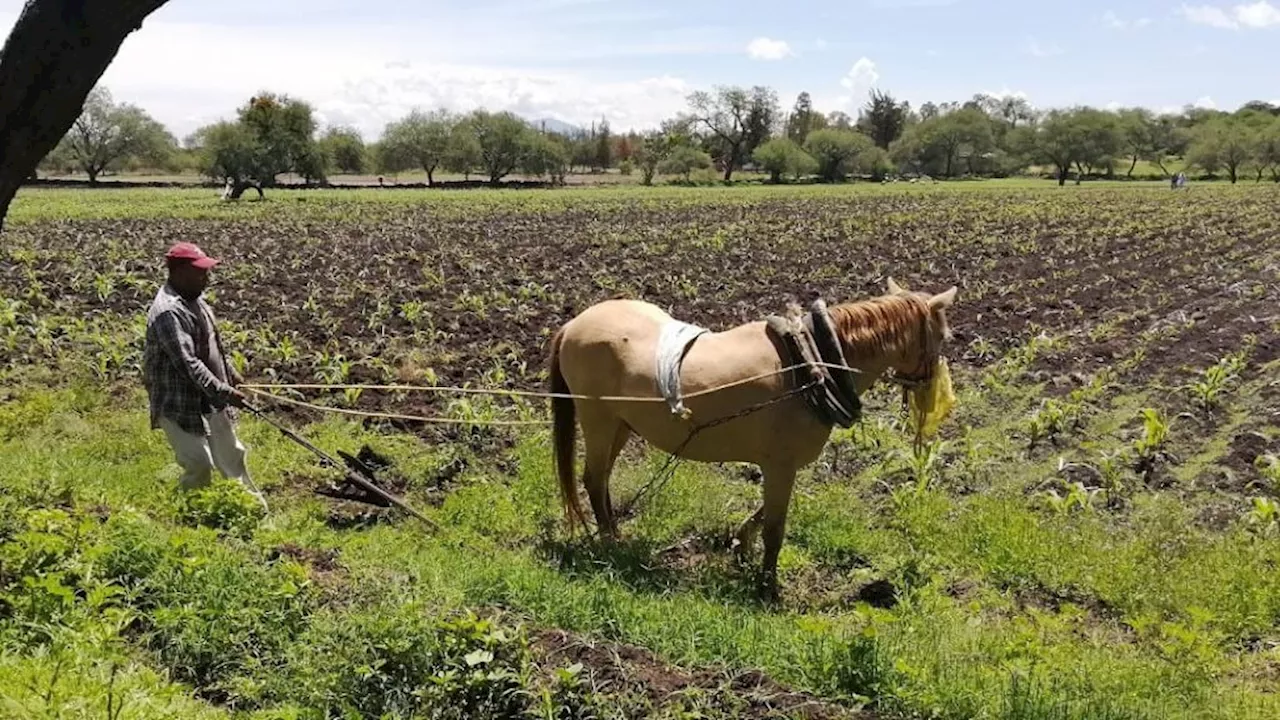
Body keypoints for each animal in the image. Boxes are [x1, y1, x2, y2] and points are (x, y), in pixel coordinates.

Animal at [545, 278, 957, 597]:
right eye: (944, 335)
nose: (932, 387)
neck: (812, 364)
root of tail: (572, 326)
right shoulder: (780, 465)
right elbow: (775, 528)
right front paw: (767, 587)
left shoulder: (781, 467)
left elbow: (763, 514)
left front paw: (741, 545)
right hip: (598, 420)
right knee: (593, 479)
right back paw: (609, 545)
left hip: (621, 424)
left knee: (601, 481)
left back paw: (615, 536)